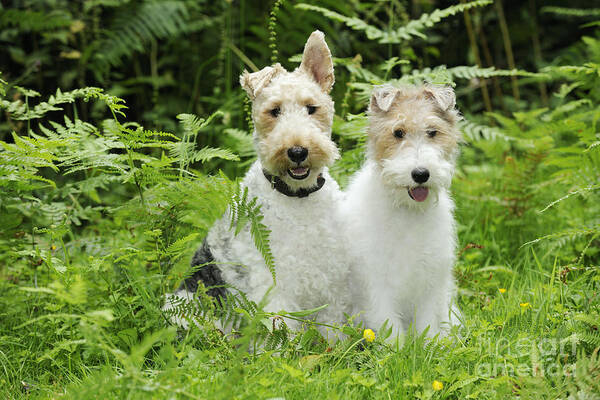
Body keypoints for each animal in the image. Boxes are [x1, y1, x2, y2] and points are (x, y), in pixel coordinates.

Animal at [166, 32, 352, 338]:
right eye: (274, 111)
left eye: (312, 108)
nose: (297, 151)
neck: (298, 199)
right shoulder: (273, 284)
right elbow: (280, 334)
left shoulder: (332, 281)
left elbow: (334, 331)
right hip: (186, 309)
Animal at [340, 84, 462, 340]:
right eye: (398, 133)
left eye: (432, 132)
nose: (421, 174)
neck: (407, 211)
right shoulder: (378, 283)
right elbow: (390, 328)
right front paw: (396, 348)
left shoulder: (428, 283)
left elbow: (427, 327)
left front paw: (428, 346)